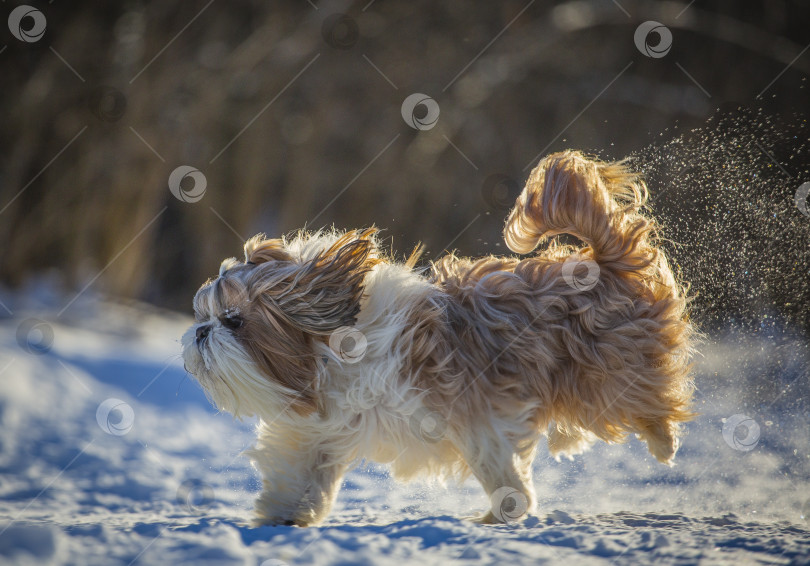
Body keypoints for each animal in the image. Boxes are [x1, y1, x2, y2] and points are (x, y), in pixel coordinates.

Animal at [181, 151, 696, 528]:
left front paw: (505, 512)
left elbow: (501, 469)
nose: (202, 331)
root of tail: (603, 260)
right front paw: (284, 515)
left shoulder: (480, 412)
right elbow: (302, 472)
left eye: (234, 320)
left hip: (605, 375)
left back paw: (664, 443)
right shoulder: (322, 428)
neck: (329, 352)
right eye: (203, 314)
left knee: (647, 400)